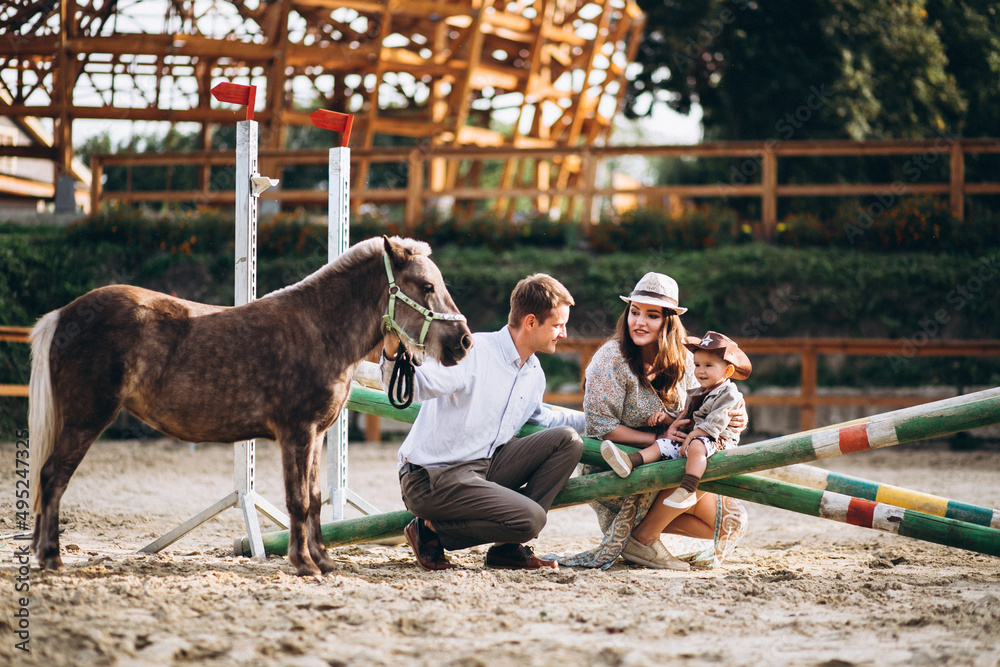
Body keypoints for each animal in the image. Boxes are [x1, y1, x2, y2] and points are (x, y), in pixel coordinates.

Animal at [26, 237, 472, 576]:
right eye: (426, 286)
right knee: (53, 477)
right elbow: (298, 500)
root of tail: (63, 314)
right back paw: (51, 559)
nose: (464, 341)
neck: (321, 330)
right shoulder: (296, 432)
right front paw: (303, 563)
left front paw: (324, 561)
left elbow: (313, 497)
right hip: (86, 419)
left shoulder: (317, 435)